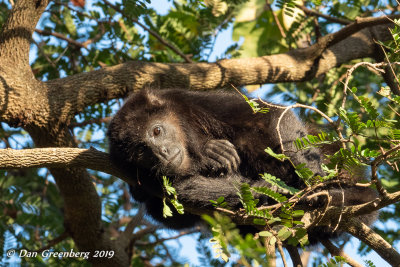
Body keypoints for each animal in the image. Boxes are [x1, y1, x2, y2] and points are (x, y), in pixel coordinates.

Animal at [107, 89, 378, 243]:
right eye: (141, 150)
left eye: (157, 130)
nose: (161, 152)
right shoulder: (131, 171)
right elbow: (174, 197)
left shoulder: (187, 99)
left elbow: (267, 116)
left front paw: (314, 181)